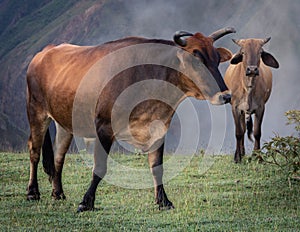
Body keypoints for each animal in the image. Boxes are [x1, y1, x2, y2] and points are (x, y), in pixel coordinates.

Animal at [25, 27, 236, 212]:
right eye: (196, 59)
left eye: (217, 59)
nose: (226, 96)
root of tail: (45, 51)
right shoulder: (104, 126)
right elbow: (100, 167)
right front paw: (86, 202)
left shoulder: (158, 128)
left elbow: (157, 168)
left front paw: (163, 201)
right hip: (36, 111)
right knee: (34, 151)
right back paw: (32, 192)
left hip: (64, 122)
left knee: (59, 156)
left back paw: (58, 193)